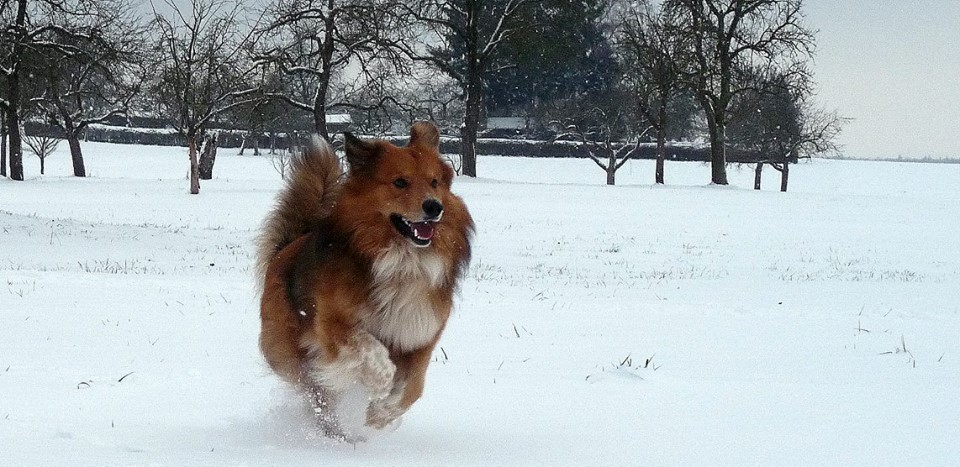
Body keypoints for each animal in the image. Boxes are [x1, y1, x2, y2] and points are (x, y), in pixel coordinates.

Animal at [255, 122, 472, 440]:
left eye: (434, 182)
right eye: (400, 182)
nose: (434, 207)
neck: (403, 260)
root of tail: (287, 246)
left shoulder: (420, 336)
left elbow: (413, 389)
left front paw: (380, 416)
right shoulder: (332, 325)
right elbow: (372, 350)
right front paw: (380, 383)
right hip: (291, 348)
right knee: (317, 394)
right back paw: (335, 433)